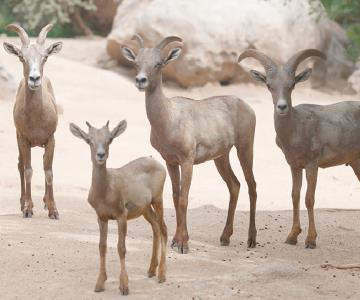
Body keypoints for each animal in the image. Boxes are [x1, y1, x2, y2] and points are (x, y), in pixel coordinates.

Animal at [3, 23, 62, 218]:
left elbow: (49, 172)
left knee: (43, 162)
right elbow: (28, 170)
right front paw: (28, 209)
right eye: (22, 57)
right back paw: (23, 203)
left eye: (45, 57)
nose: (34, 79)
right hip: (18, 139)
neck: (37, 118)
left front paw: (53, 210)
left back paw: (45, 201)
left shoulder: (51, 139)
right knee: (21, 165)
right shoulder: (24, 139)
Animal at [69, 119, 167, 292]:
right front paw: (99, 283)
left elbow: (121, 248)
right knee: (156, 227)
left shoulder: (121, 215)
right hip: (145, 208)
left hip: (158, 200)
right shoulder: (102, 217)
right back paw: (150, 270)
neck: (105, 190)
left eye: (110, 139)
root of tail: (156, 161)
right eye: (89, 140)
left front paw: (124, 286)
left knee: (163, 229)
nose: (100, 155)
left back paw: (161, 275)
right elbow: (102, 246)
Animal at [122, 34, 258, 253]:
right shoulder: (170, 162)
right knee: (235, 185)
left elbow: (184, 199)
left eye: (158, 63)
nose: (140, 80)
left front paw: (183, 244)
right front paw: (176, 241)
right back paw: (225, 237)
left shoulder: (187, 161)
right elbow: (176, 197)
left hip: (245, 148)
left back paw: (251, 240)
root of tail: (248, 107)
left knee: (251, 185)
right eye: (136, 63)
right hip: (221, 157)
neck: (169, 119)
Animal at [239, 48, 360, 248]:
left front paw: (311, 240)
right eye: (269, 86)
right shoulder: (295, 166)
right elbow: (295, 195)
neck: (296, 128)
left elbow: (309, 199)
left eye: (291, 85)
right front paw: (292, 237)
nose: (282, 107)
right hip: (356, 163)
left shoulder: (312, 165)